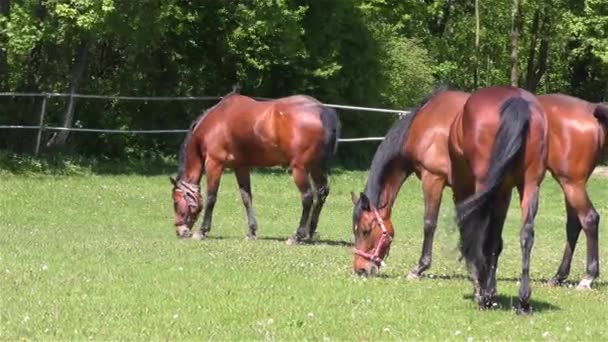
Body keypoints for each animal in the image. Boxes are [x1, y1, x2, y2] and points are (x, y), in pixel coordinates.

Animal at [171, 91, 340, 243]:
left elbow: (211, 197)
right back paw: (310, 233)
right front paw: (251, 232)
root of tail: (321, 110)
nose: (180, 231)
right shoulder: (241, 167)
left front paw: (202, 231)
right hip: (316, 167)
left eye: (176, 203)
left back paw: (297, 236)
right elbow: (246, 197)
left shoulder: (214, 164)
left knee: (307, 197)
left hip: (299, 169)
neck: (215, 123)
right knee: (321, 194)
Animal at [352, 85, 548, 312]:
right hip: (527, 186)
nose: (360, 269)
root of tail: (517, 101)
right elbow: (475, 234)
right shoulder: (471, 191)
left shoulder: (433, 179)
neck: (422, 122)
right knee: (523, 235)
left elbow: (431, 224)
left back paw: (484, 295)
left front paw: (420, 268)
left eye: (365, 230)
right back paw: (520, 298)